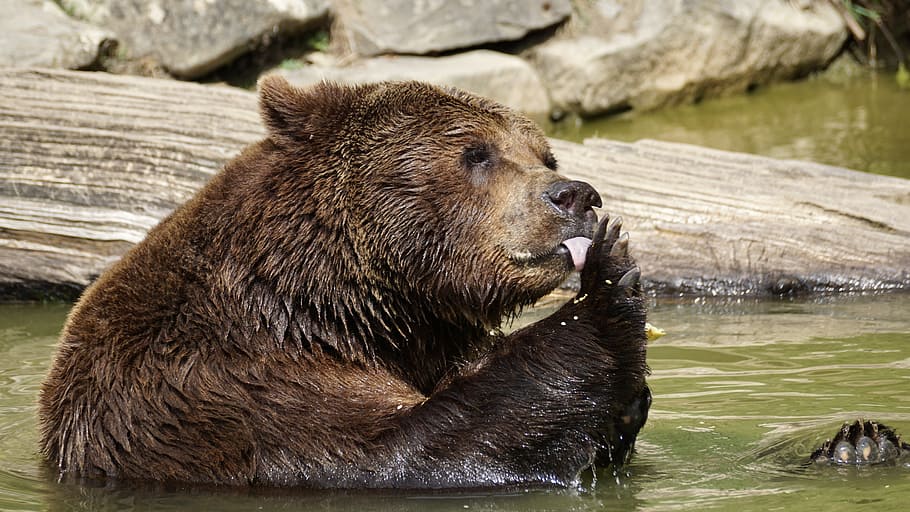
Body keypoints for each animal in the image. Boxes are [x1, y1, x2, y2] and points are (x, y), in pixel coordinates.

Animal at [38, 77, 651, 489]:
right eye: (476, 153)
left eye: (546, 155)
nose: (575, 195)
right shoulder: (220, 388)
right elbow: (399, 453)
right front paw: (609, 285)